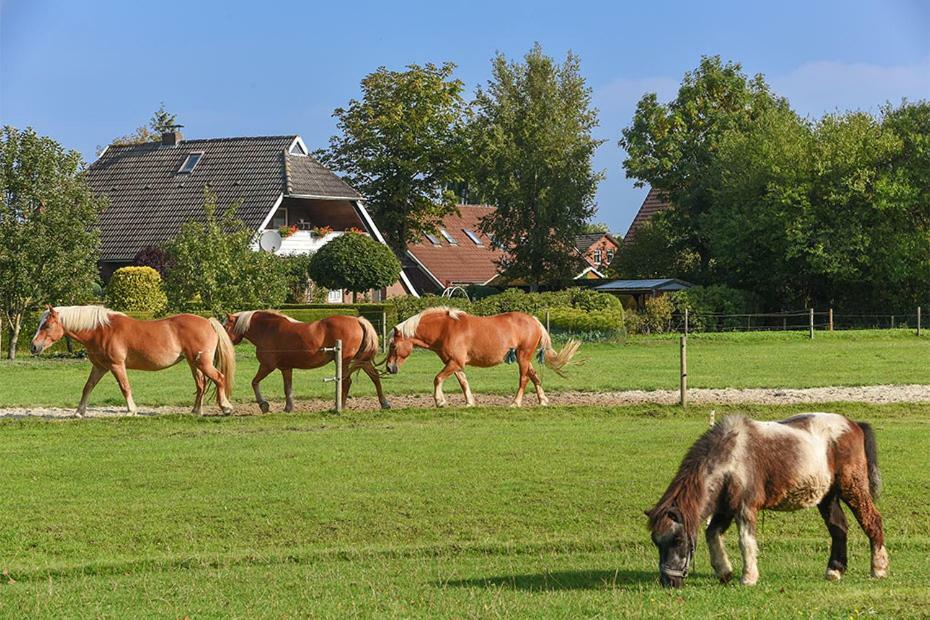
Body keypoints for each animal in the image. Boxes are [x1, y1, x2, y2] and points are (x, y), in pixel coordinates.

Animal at [31, 306, 237, 416]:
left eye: (47, 325)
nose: (33, 346)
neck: (100, 330)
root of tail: (208, 321)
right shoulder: (100, 367)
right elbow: (87, 387)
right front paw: (79, 412)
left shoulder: (116, 365)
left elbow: (125, 387)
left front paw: (131, 410)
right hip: (194, 363)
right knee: (201, 385)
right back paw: (196, 411)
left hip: (202, 363)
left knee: (219, 378)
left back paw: (226, 407)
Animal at [223, 310, 390, 412]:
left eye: (225, 326)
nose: (223, 340)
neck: (268, 330)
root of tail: (357, 320)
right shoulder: (286, 368)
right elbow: (287, 388)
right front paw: (288, 408)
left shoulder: (267, 366)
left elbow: (254, 382)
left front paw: (264, 405)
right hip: (362, 360)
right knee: (374, 377)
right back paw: (384, 403)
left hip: (344, 361)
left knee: (346, 381)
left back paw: (340, 406)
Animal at [382, 306, 572, 406]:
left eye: (393, 345)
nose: (389, 367)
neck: (445, 329)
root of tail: (534, 320)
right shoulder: (455, 363)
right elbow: (463, 382)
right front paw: (469, 402)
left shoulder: (454, 362)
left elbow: (437, 379)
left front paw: (440, 401)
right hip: (523, 357)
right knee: (534, 376)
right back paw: (543, 400)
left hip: (523, 357)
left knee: (524, 379)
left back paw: (516, 403)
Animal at [644, 414, 884, 588]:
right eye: (656, 542)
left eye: (678, 540)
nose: (668, 582)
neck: (730, 457)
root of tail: (854, 425)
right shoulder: (725, 509)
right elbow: (711, 534)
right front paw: (724, 572)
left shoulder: (745, 508)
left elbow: (745, 542)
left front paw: (748, 578)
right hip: (828, 497)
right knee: (839, 528)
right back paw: (834, 571)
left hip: (852, 488)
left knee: (872, 521)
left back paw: (879, 569)